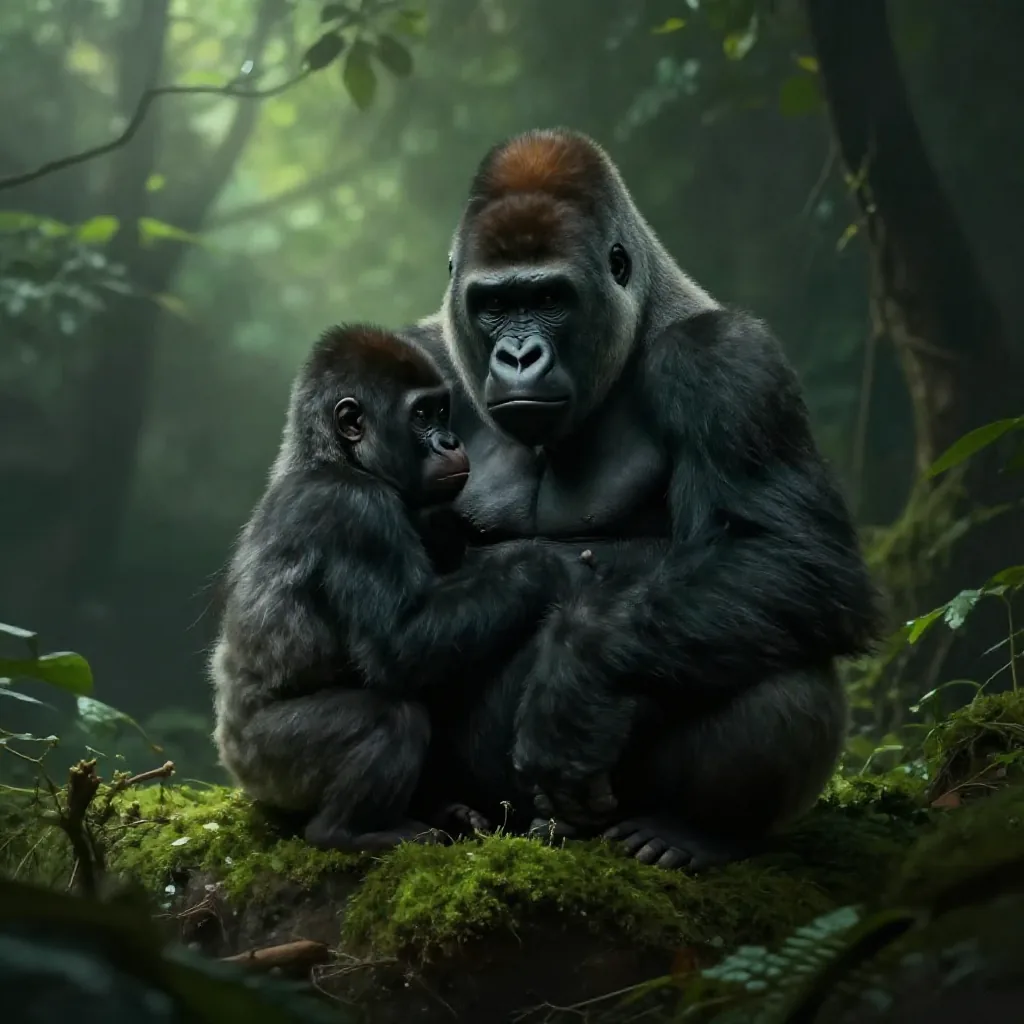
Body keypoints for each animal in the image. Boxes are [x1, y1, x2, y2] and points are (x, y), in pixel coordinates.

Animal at [210, 323, 577, 853]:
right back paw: (348, 832)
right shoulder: (357, 510)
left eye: (442, 411)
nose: (450, 440)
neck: (334, 456)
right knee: (392, 717)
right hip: (267, 765)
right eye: (421, 415)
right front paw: (544, 566)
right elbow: (399, 645)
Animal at [401, 127, 882, 870]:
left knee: (786, 663)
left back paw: (693, 831)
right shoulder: (414, 354)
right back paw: (444, 808)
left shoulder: (728, 361)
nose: (518, 357)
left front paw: (578, 680)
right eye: (494, 305)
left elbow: (791, 554)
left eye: (550, 297)